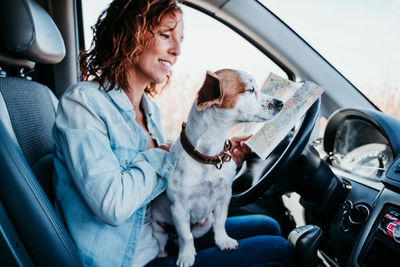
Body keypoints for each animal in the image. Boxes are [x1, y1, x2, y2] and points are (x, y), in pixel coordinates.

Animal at [152, 69, 282, 267]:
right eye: (250, 90)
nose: (280, 103)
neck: (208, 158)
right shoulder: (179, 208)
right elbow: (186, 236)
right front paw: (186, 256)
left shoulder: (223, 197)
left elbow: (220, 223)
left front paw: (223, 241)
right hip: (158, 229)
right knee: (166, 241)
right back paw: (163, 252)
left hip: (204, 224)